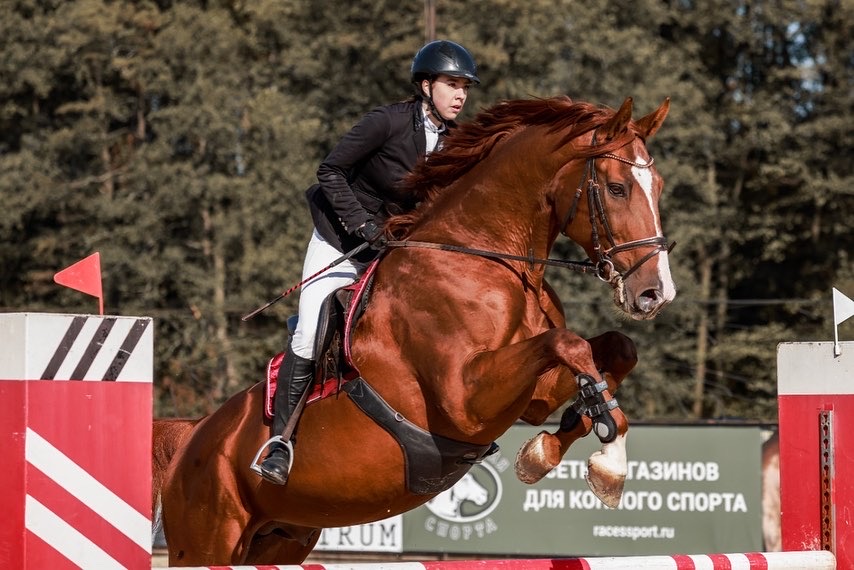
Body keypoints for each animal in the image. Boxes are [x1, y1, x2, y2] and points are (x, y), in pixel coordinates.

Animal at [156, 95, 675, 566]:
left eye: (659, 186)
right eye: (616, 189)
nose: (655, 293)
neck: (483, 257)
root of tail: (191, 437)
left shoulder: (531, 396)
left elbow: (613, 349)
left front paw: (556, 448)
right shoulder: (465, 401)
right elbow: (568, 344)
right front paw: (607, 460)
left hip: (281, 538)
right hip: (205, 544)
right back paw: (275, 457)